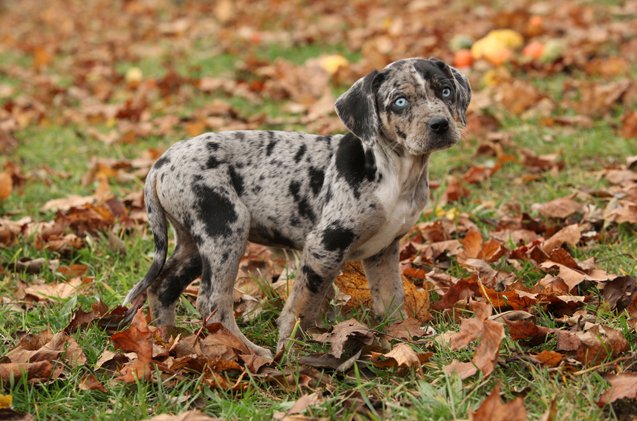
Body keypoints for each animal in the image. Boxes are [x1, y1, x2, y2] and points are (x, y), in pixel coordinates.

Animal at [121, 56, 470, 358]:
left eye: (445, 91)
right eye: (399, 101)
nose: (440, 124)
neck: (397, 173)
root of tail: (161, 163)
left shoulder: (383, 250)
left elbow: (391, 300)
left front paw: (401, 338)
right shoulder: (325, 244)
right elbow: (303, 303)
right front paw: (289, 348)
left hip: (195, 240)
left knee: (163, 286)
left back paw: (168, 341)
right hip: (226, 227)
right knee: (212, 303)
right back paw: (248, 352)